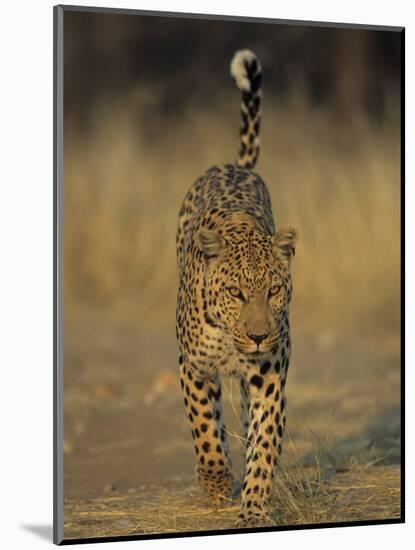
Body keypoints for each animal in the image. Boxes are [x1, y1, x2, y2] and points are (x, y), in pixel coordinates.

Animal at [176, 50, 300, 532]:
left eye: (274, 290)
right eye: (235, 293)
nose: (259, 335)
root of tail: (235, 166)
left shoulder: (269, 374)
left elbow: (264, 442)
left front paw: (254, 508)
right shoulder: (192, 366)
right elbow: (204, 430)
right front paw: (215, 483)